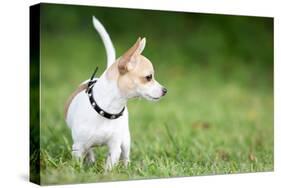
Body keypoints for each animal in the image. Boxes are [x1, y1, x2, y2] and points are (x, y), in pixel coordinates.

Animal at [64, 16, 166, 171]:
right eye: (149, 77)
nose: (165, 90)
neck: (105, 110)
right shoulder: (78, 147)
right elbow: (78, 161)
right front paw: (78, 171)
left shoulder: (114, 147)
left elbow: (110, 165)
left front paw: (107, 173)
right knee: (90, 151)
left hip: (126, 140)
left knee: (126, 155)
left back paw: (126, 167)